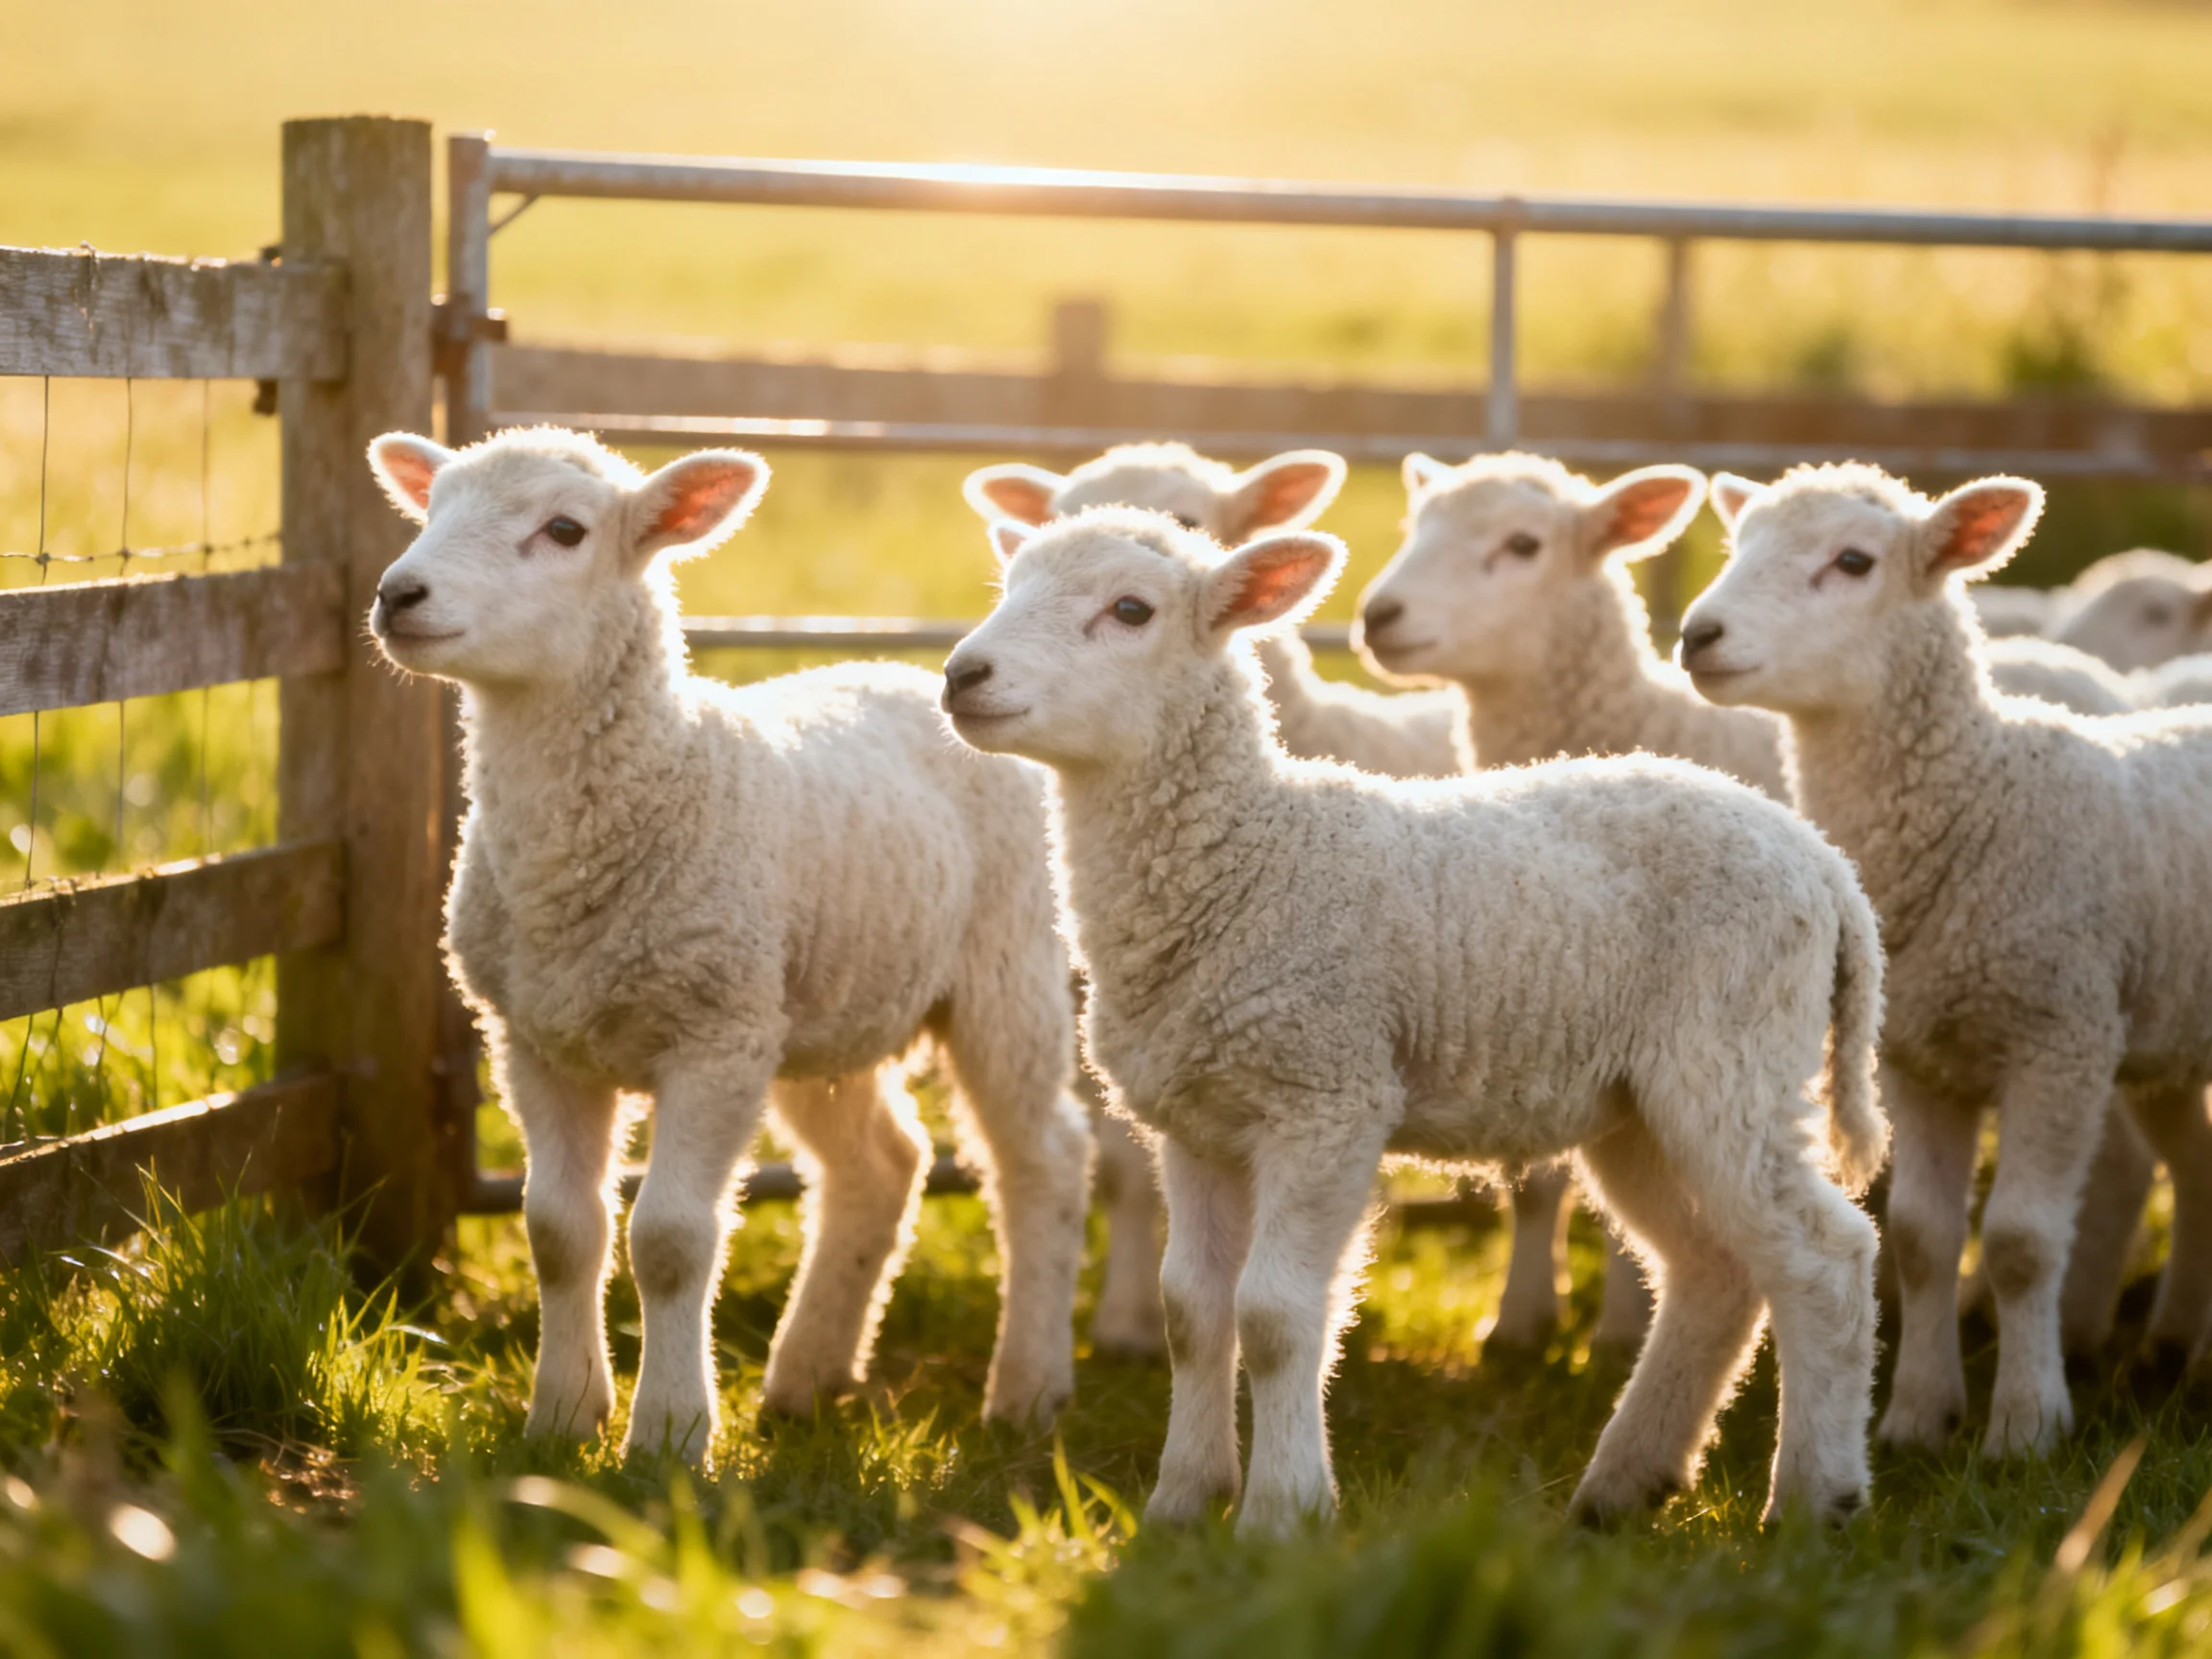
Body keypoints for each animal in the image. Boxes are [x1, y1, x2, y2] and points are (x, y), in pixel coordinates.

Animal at [363, 426, 1093, 1464]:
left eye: (564, 530)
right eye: (431, 508)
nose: (399, 593)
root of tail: (917, 675)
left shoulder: (711, 1040)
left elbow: (669, 1240)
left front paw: (668, 1433)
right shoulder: (536, 1040)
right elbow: (559, 1231)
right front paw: (561, 1419)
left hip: (1004, 973)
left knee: (1045, 1160)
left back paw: (1027, 1388)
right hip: (819, 1010)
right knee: (881, 1164)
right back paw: (807, 1376)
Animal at [943, 506, 1888, 1531]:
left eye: (1130, 610)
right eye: (1008, 587)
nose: (961, 674)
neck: (1247, 859)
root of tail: (1821, 861)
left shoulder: (1328, 1097)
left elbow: (1272, 1315)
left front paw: (1281, 1512)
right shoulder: (1196, 1125)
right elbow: (1191, 1313)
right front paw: (1182, 1505)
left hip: (1733, 1056)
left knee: (1826, 1258)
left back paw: (1815, 1496)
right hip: (1642, 1107)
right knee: (1715, 1272)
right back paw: (1623, 1484)